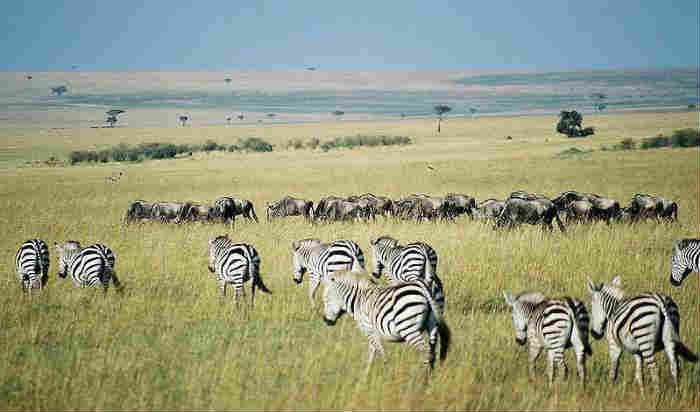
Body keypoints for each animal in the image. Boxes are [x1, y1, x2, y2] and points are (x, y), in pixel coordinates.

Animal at [322, 270, 454, 376]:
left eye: (326, 300)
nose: (326, 321)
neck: (359, 299)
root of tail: (422, 286)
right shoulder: (372, 332)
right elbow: (372, 353)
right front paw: (367, 374)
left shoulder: (369, 329)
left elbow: (379, 351)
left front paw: (384, 370)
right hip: (433, 324)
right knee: (432, 351)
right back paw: (430, 377)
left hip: (408, 328)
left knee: (426, 351)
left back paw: (422, 378)